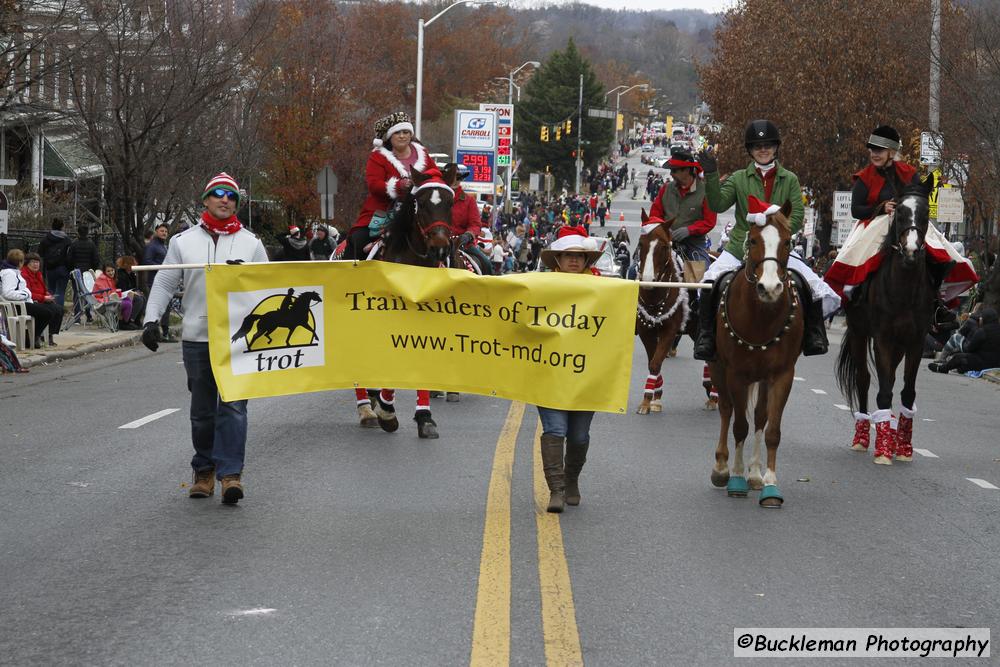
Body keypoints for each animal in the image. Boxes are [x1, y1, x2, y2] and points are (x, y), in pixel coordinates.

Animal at [636, 211, 692, 414]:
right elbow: (653, 361)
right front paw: (655, 397)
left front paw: (648, 401)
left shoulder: (670, 330)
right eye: (641, 243)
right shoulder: (645, 330)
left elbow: (655, 363)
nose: (647, 279)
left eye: (664, 247)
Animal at [712, 201, 804, 508]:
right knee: (726, 410)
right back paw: (722, 469)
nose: (770, 288)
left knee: (761, 416)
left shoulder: (782, 375)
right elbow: (739, 425)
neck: (762, 317)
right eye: (752, 240)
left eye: (787, 242)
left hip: (763, 378)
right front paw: (736, 478)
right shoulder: (736, 374)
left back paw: (754, 474)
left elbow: (772, 430)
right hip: (718, 368)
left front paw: (769, 484)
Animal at [836, 181, 936, 464]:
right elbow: (882, 390)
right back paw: (862, 438)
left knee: (889, 377)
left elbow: (906, 392)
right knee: (864, 379)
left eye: (926, 213)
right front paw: (882, 451)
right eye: (899, 211)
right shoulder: (882, 339)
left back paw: (890, 433)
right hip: (859, 334)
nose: (911, 252)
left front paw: (902, 447)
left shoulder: (915, 342)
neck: (904, 288)